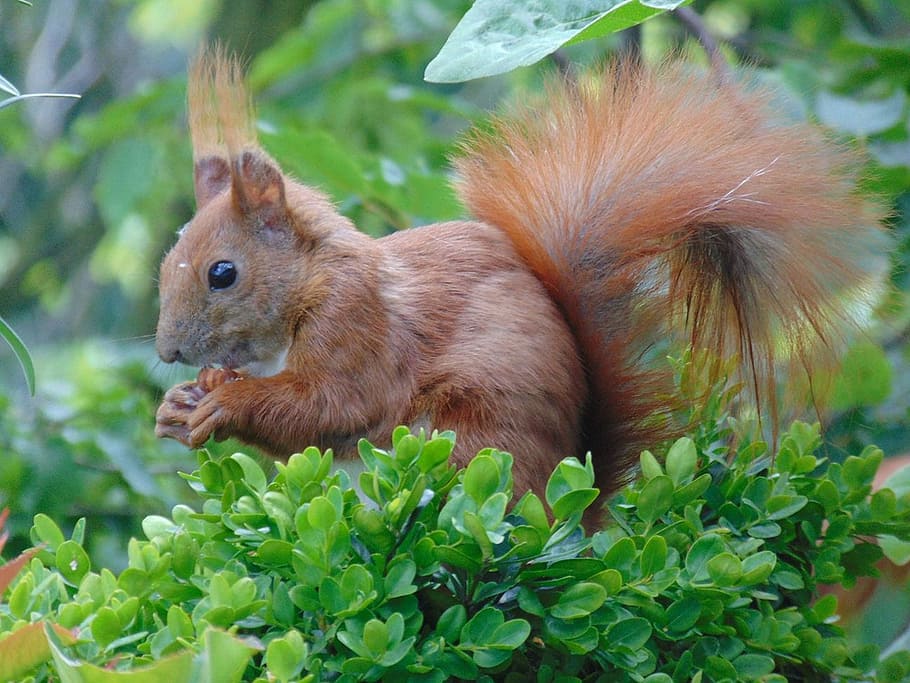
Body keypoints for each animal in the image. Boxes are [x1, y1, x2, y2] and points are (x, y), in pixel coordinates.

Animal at [155, 48, 886, 509]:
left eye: (223, 273)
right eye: (167, 263)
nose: (167, 351)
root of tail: (571, 505)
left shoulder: (358, 326)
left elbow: (331, 404)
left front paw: (227, 401)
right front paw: (181, 403)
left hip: (476, 443)